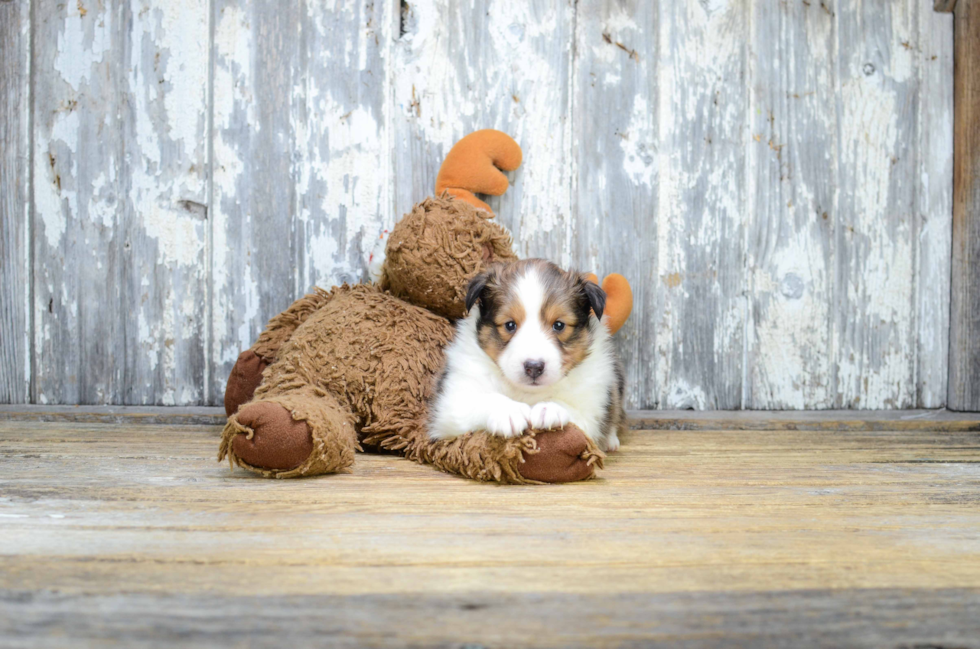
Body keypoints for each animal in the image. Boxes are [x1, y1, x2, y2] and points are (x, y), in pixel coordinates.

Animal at [428, 258, 628, 450]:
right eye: (510, 325)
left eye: (559, 325)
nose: (534, 367)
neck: (528, 392)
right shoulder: (451, 403)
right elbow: (484, 399)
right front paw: (508, 411)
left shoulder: (591, 408)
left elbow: (570, 407)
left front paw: (549, 409)